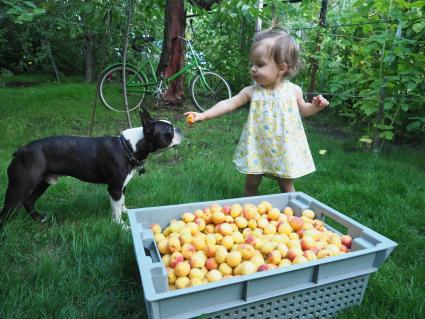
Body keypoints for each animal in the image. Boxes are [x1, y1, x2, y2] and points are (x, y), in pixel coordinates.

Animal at [0, 109, 181, 229]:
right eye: (169, 131)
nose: (179, 129)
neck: (129, 146)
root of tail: (21, 150)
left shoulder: (122, 186)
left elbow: (122, 202)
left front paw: (126, 213)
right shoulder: (115, 188)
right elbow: (116, 208)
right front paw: (121, 225)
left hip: (44, 182)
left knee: (29, 200)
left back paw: (38, 218)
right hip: (19, 187)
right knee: (7, 212)